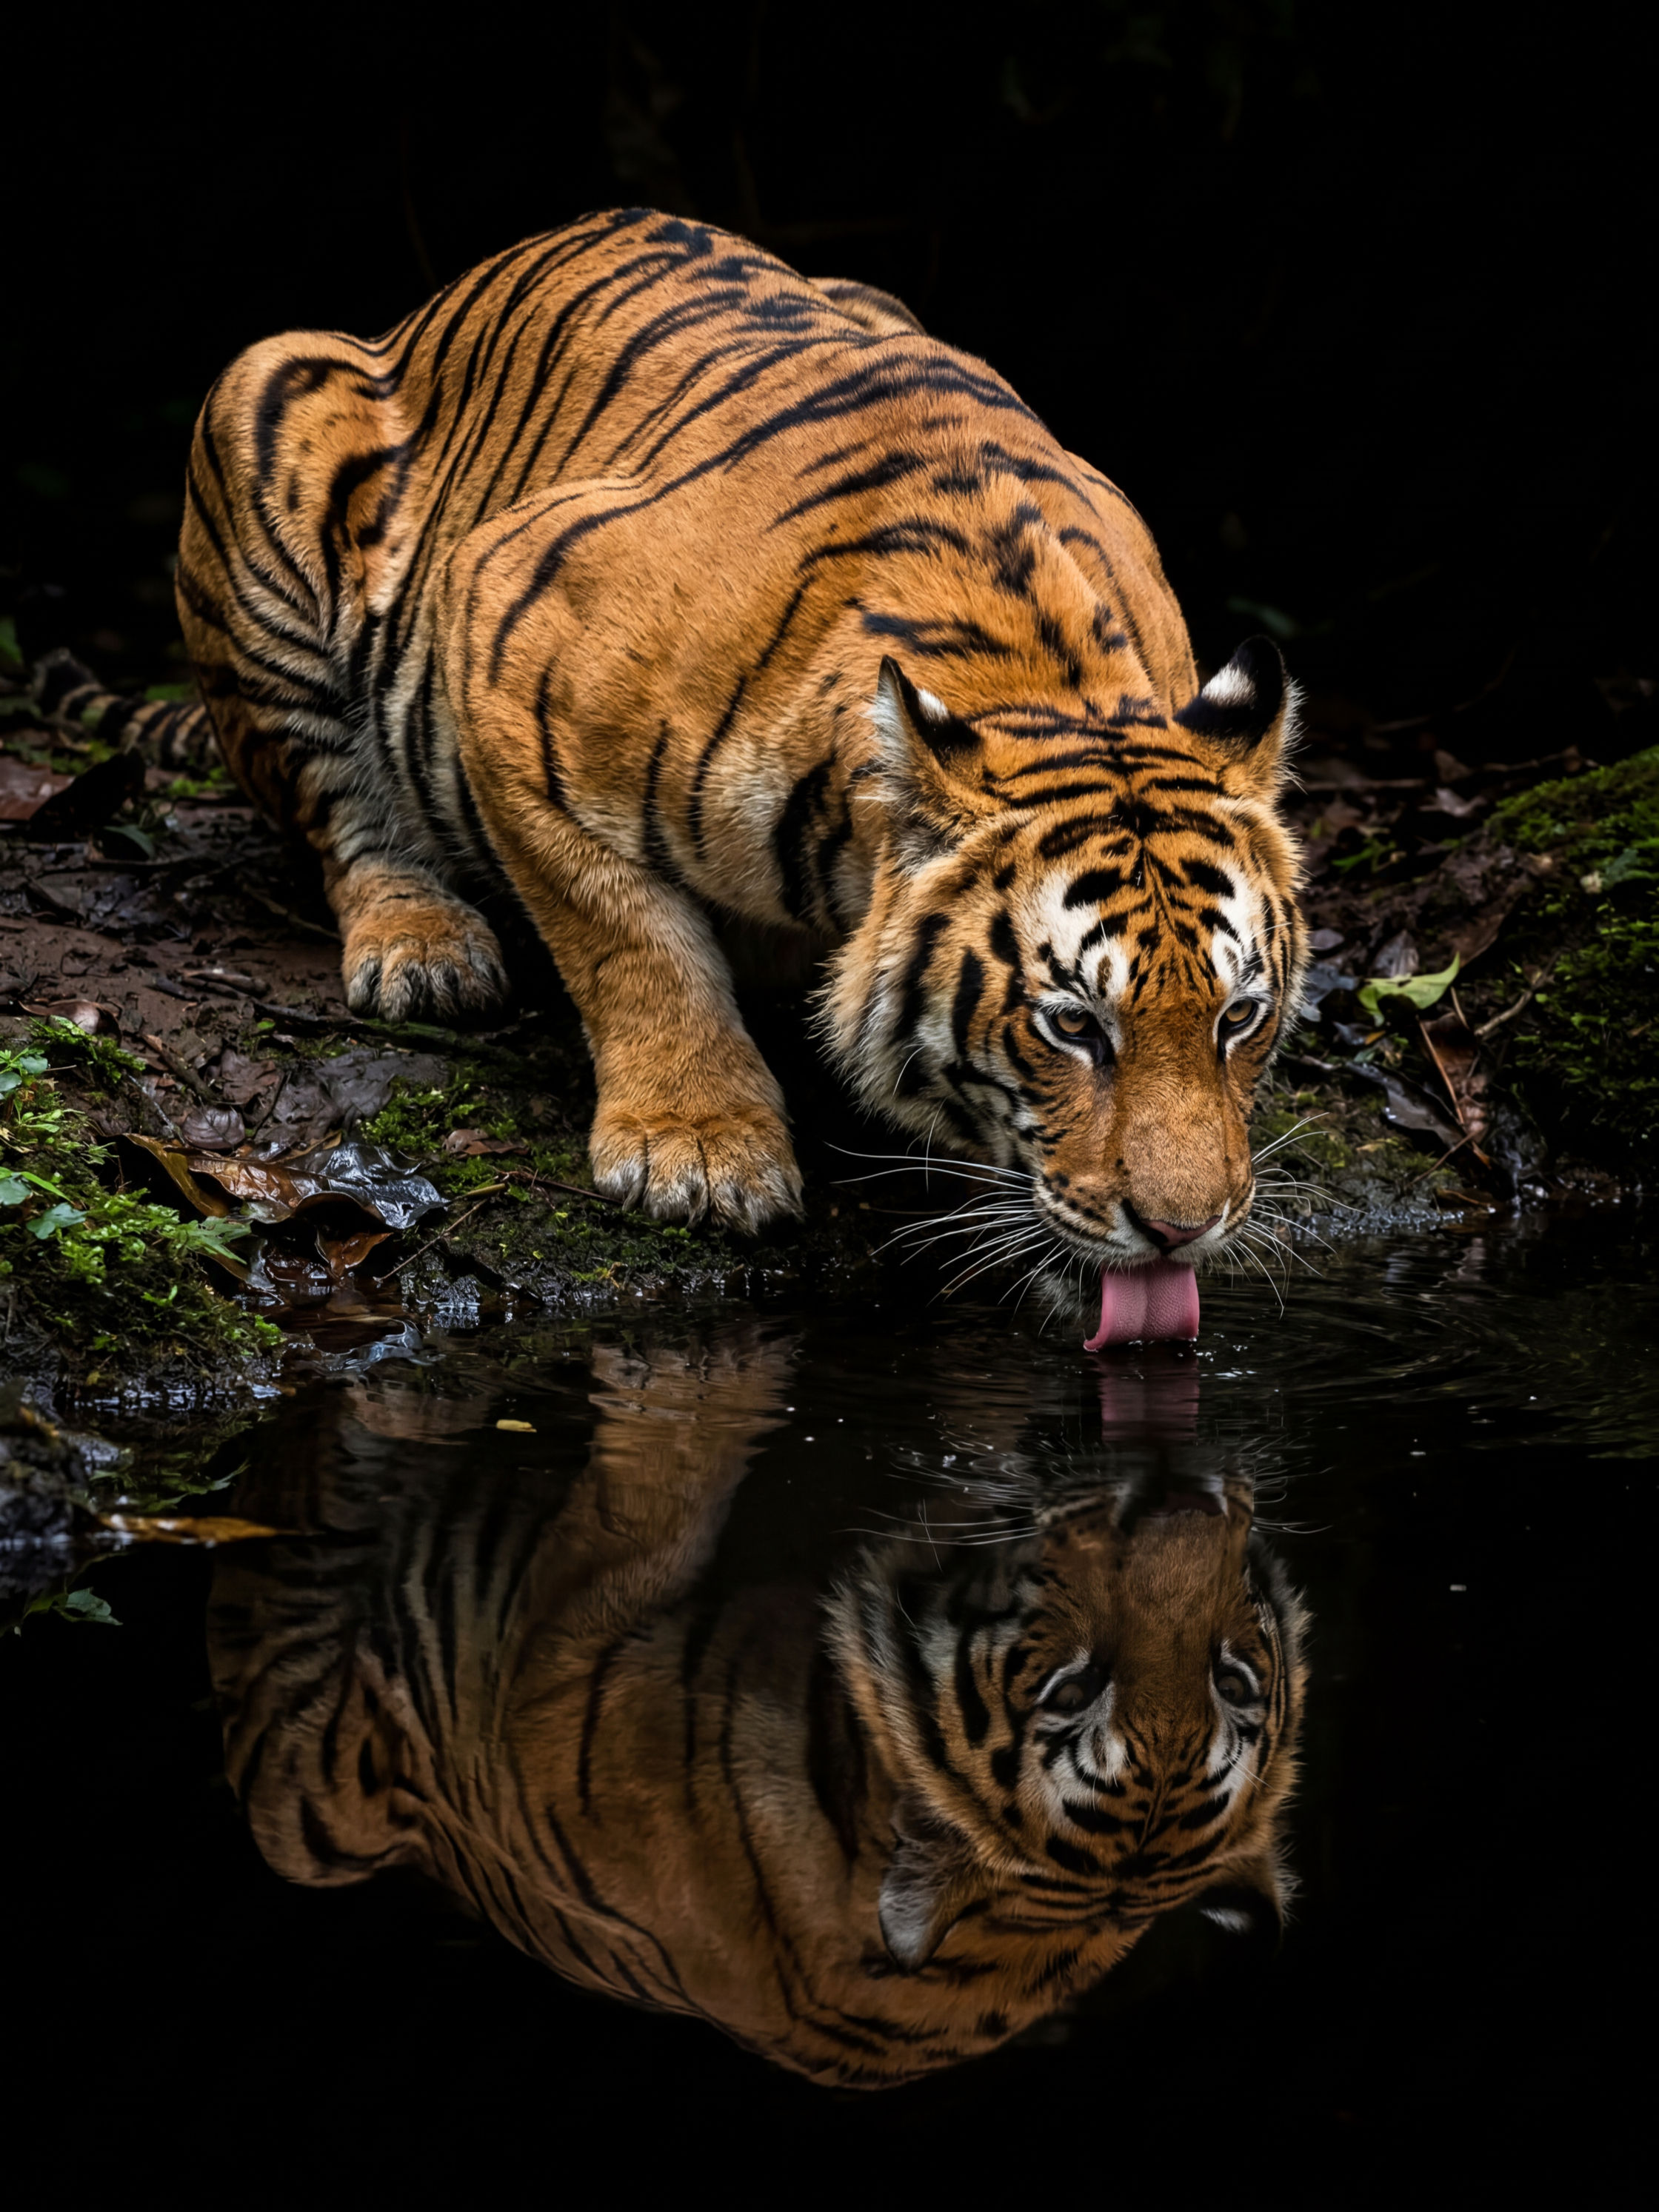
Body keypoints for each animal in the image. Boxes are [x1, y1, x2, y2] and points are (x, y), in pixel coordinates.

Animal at [129, 204, 1306, 1336]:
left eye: (1237, 1016)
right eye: (1072, 1025)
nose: (1184, 1227)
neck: (1039, 683)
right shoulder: (503, 641)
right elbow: (629, 938)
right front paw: (697, 1148)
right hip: (265, 406)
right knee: (346, 812)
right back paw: (424, 947)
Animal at [208, 1327, 1307, 2088]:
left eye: (1229, 1680)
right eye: (1076, 1689)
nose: (1181, 1500)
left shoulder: (555, 1656)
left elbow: (657, 1479)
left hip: (306, 1803)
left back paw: (392, 1399)